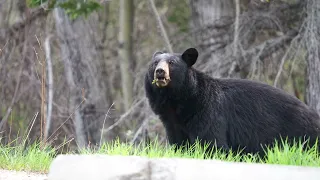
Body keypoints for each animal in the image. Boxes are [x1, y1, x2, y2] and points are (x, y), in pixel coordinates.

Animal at [144, 47, 320, 155]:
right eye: (155, 63)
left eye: (171, 63)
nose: (160, 72)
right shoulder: (173, 122)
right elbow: (179, 143)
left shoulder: (208, 112)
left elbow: (212, 142)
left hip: (300, 132)